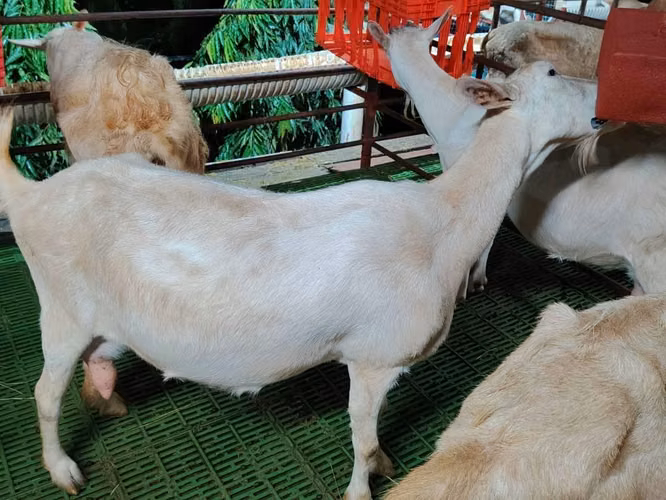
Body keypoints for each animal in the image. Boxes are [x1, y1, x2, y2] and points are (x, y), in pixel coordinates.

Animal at [0, 60, 597, 498]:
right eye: (551, 73)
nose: (602, 100)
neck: (441, 222)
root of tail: (32, 195)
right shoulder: (374, 358)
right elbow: (361, 437)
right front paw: (363, 485)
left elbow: (373, 434)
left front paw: (384, 463)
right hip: (61, 308)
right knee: (45, 394)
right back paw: (63, 469)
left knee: (96, 358)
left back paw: (106, 399)